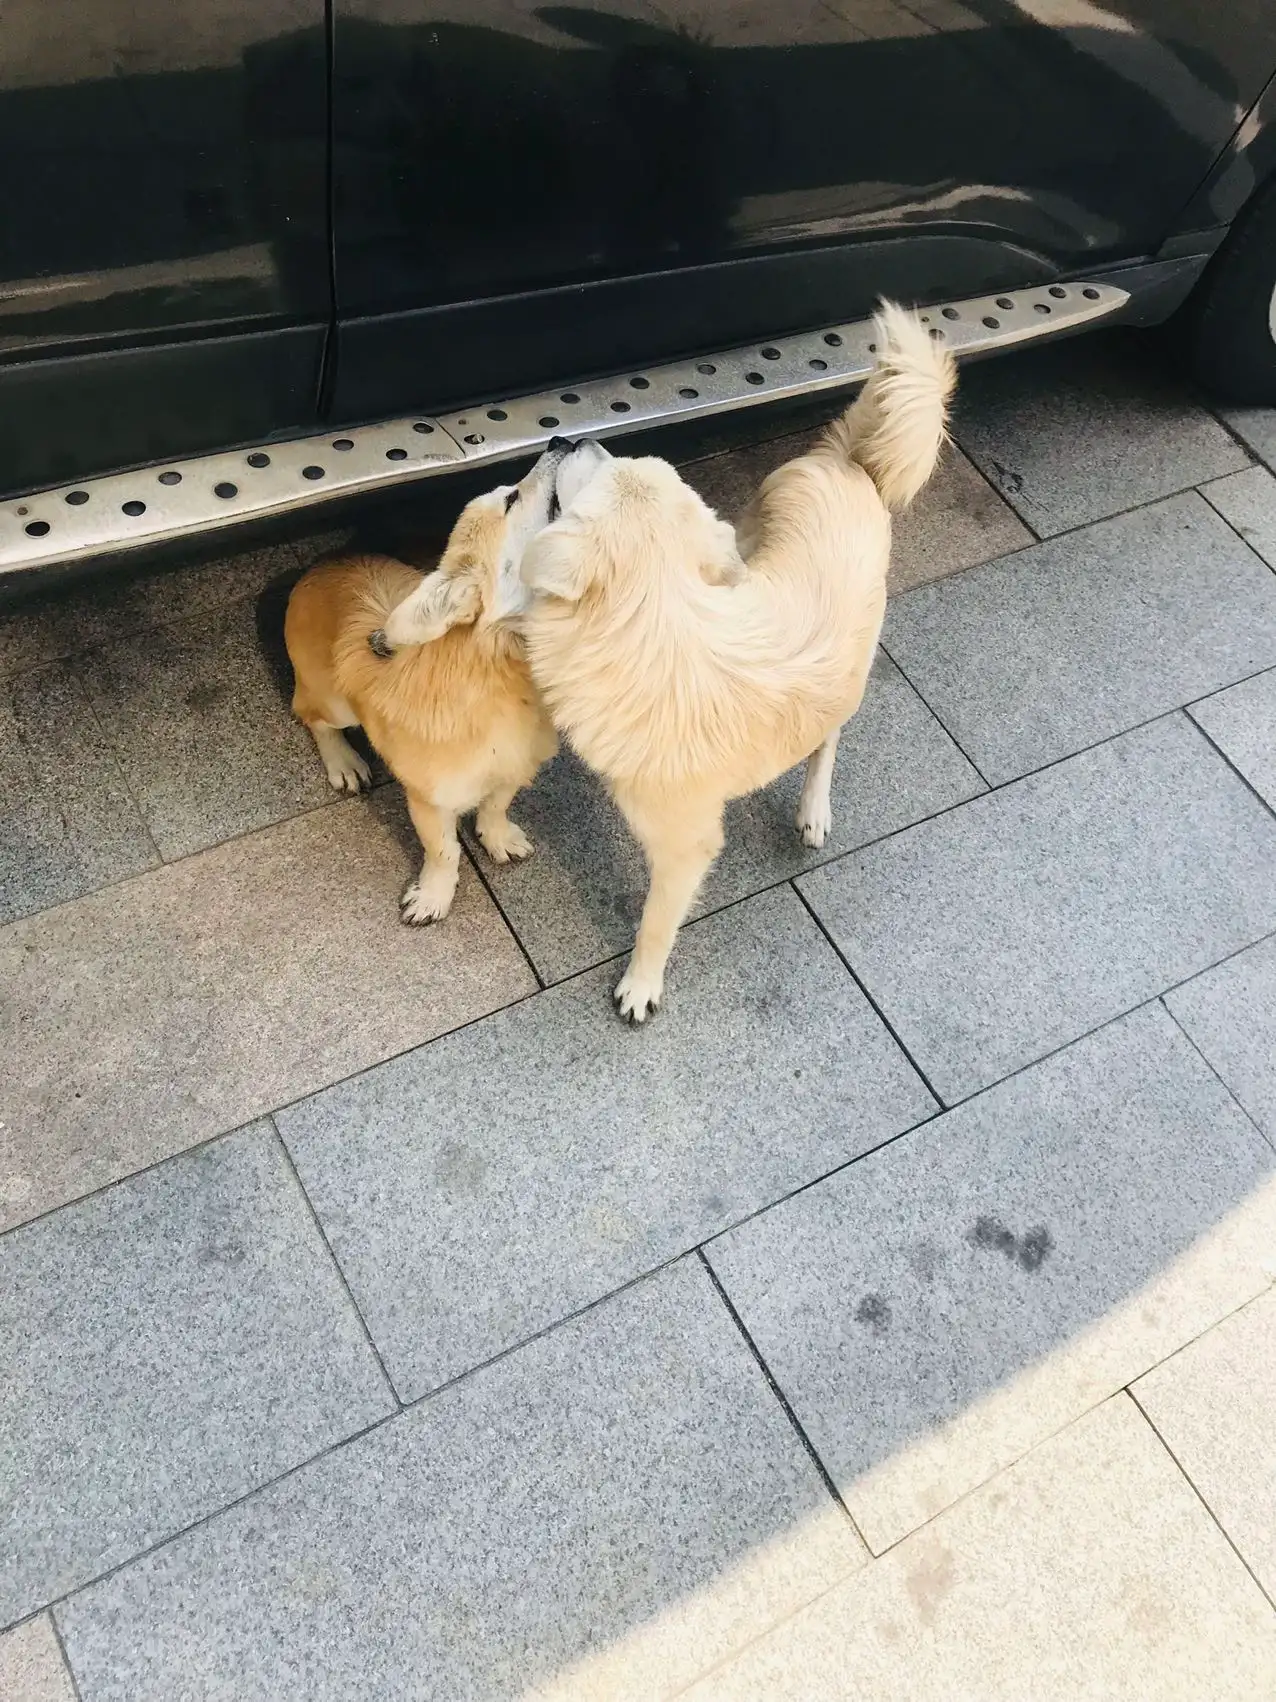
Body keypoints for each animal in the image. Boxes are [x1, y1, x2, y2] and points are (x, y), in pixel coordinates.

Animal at [284, 439, 564, 919]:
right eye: (511, 499)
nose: (560, 441)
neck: (500, 666)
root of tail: (325, 564)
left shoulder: (513, 767)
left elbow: (496, 806)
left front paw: (497, 839)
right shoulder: (429, 798)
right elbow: (444, 851)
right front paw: (433, 897)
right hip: (333, 703)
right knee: (310, 715)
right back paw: (344, 763)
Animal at [520, 302, 959, 1021]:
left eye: (600, 470)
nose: (564, 438)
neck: (657, 621)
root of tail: (849, 465)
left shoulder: (686, 845)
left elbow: (657, 921)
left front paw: (641, 985)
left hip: (855, 670)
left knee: (828, 740)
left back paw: (814, 808)